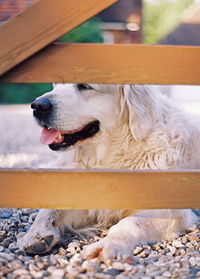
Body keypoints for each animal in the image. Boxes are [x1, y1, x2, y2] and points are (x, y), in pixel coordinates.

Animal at [17, 84, 198, 264]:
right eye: (56, 85)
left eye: (85, 86)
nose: (37, 106)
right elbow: (48, 210)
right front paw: (37, 234)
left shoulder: (172, 211)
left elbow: (129, 222)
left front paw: (106, 245)